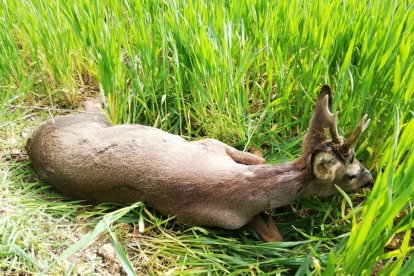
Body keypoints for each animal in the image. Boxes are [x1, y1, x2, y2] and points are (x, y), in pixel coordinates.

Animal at [27, 85, 374, 240]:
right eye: (351, 174)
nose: (371, 178)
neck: (247, 190)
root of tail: (30, 141)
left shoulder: (212, 146)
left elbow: (256, 156)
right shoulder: (217, 216)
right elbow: (272, 234)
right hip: (94, 119)